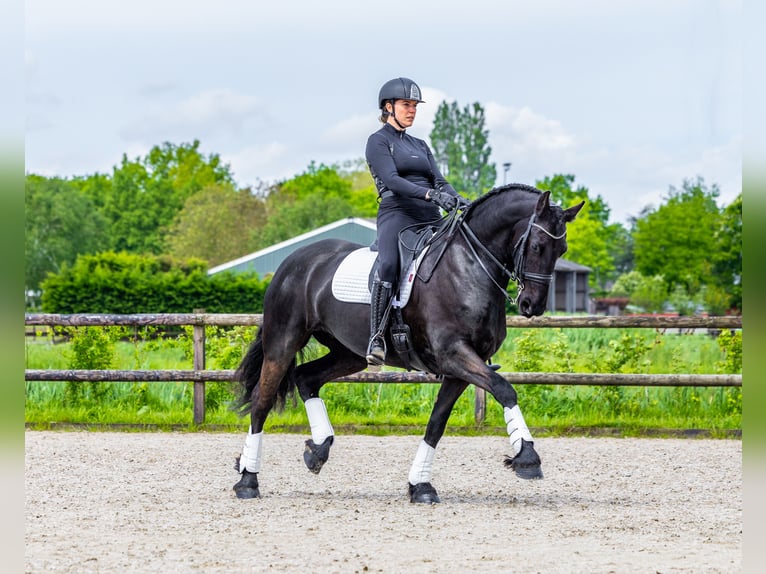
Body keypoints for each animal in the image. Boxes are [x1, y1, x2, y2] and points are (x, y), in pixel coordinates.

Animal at [231, 184, 584, 504]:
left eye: (562, 250)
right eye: (537, 246)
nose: (532, 306)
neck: (469, 265)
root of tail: (293, 261)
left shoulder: (461, 367)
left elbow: (436, 424)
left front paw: (421, 486)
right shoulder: (454, 354)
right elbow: (504, 389)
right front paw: (527, 457)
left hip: (349, 353)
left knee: (306, 378)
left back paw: (316, 451)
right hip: (283, 342)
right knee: (262, 402)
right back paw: (248, 480)